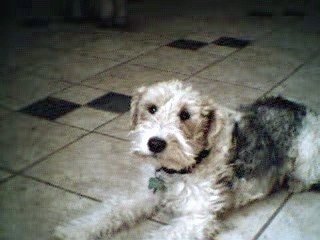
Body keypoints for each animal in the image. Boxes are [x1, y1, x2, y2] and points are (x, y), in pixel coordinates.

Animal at [53, 80, 320, 240]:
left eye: (185, 115)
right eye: (151, 108)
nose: (155, 143)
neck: (180, 170)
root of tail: (299, 106)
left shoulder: (196, 218)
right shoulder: (147, 192)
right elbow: (112, 210)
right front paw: (72, 231)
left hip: (308, 155)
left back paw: (294, 183)